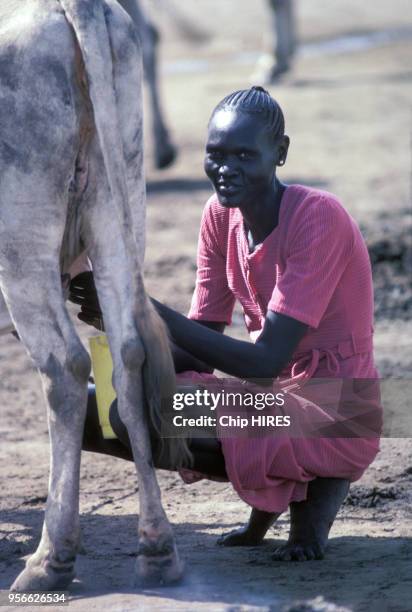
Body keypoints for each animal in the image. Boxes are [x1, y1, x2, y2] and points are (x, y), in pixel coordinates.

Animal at [0, 0, 188, 592]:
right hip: (118, 205)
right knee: (128, 358)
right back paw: (157, 550)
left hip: (21, 243)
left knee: (64, 368)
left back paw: (50, 557)